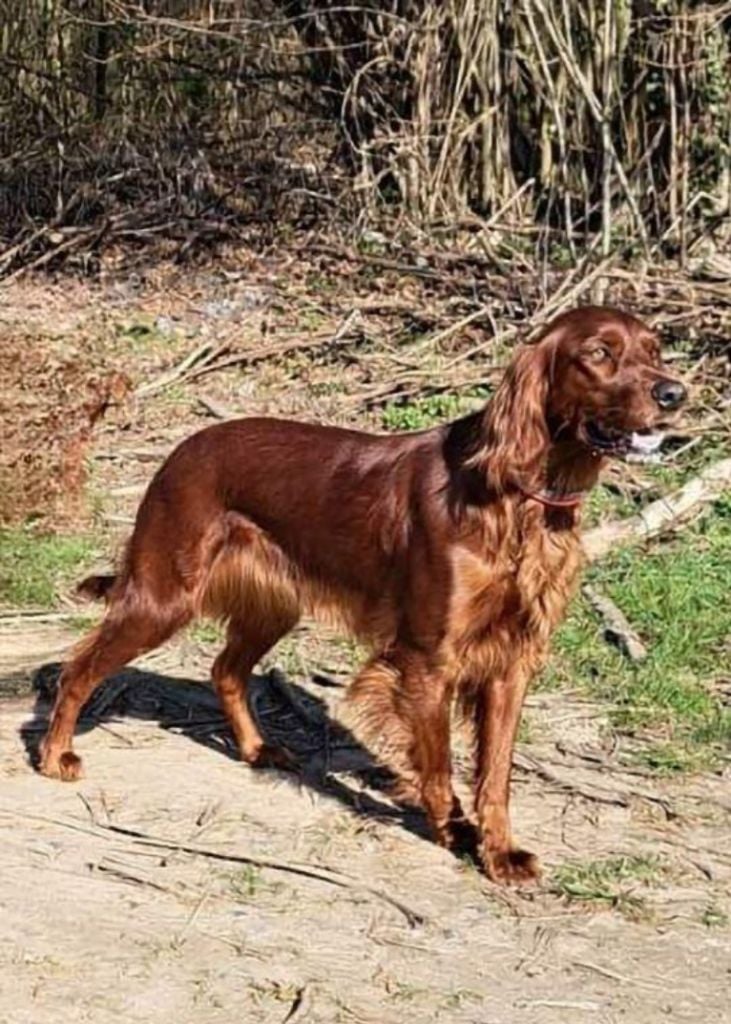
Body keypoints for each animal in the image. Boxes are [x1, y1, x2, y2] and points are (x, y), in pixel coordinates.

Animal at [39, 303, 683, 880]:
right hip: (163, 594)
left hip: (274, 605)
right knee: (79, 668)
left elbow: (496, 774)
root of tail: (178, 450)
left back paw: (256, 749)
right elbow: (441, 763)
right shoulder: (429, 658)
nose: (675, 393)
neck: (516, 499)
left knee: (225, 669)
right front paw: (453, 831)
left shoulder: (512, 660)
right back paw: (54, 756)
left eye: (655, 351)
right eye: (597, 354)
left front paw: (499, 852)